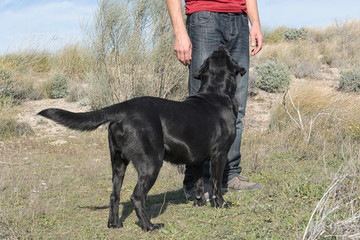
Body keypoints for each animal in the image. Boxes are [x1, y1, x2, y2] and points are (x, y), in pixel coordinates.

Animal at [38, 45, 246, 231]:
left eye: (215, 55)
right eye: (227, 55)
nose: (220, 46)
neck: (215, 92)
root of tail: (121, 108)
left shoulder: (196, 160)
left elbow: (198, 184)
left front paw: (200, 204)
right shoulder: (220, 155)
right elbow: (216, 183)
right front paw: (221, 205)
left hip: (118, 163)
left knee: (114, 195)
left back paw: (115, 224)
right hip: (151, 163)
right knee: (136, 197)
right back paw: (150, 226)